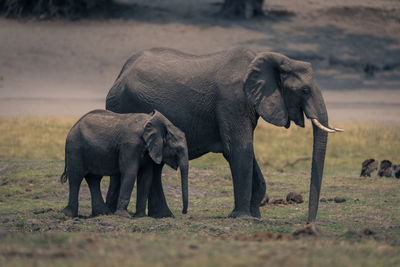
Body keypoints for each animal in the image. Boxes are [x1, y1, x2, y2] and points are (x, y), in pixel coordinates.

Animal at [61, 110, 189, 219]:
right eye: (177, 150)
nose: (183, 212)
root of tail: (74, 125)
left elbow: (146, 176)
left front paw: (140, 217)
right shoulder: (130, 145)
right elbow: (130, 172)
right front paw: (124, 216)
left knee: (94, 179)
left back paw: (103, 214)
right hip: (75, 148)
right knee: (76, 177)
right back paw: (70, 215)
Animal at [104, 47, 342, 222]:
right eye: (304, 90)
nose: (309, 223)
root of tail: (119, 75)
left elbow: (247, 153)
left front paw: (255, 216)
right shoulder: (232, 99)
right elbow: (239, 149)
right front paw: (243, 217)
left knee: (156, 164)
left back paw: (163, 216)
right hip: (126, 105)